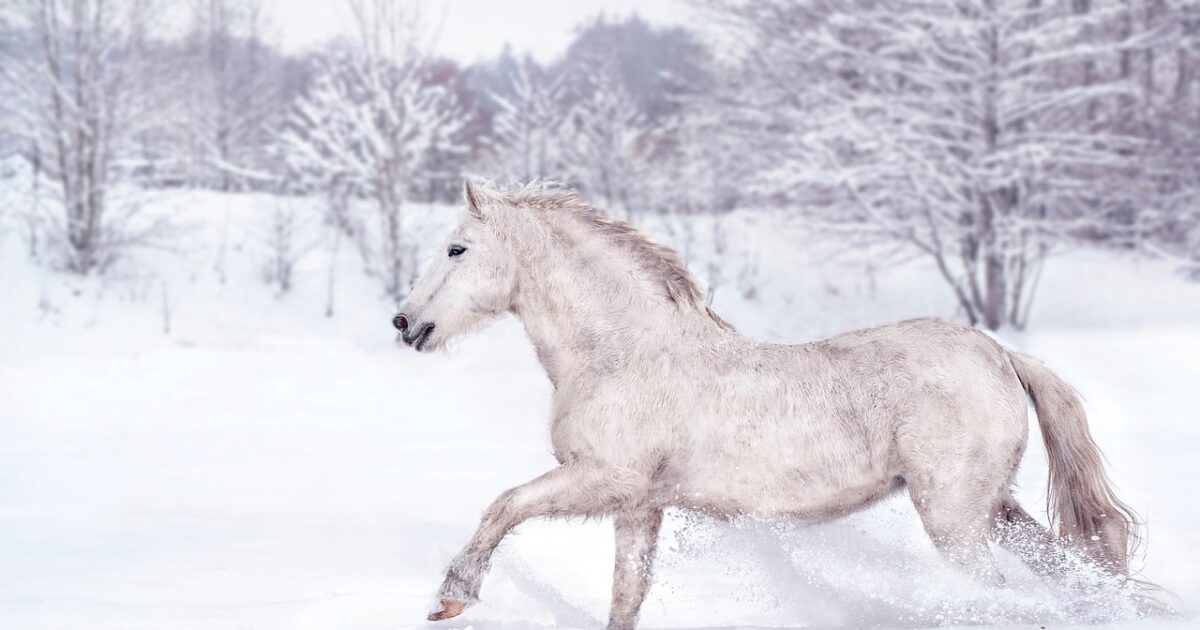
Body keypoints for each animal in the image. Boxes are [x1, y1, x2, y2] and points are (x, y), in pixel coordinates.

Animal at [393, 181, 1139, 630]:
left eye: (457, 248)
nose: (405, 323)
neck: (623, 351)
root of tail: (999, 354)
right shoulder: (639, 507)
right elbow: (626, 596)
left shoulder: (602, 480)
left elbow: (503, 506)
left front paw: (452, 596)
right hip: (994, 511)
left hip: (955, 520)